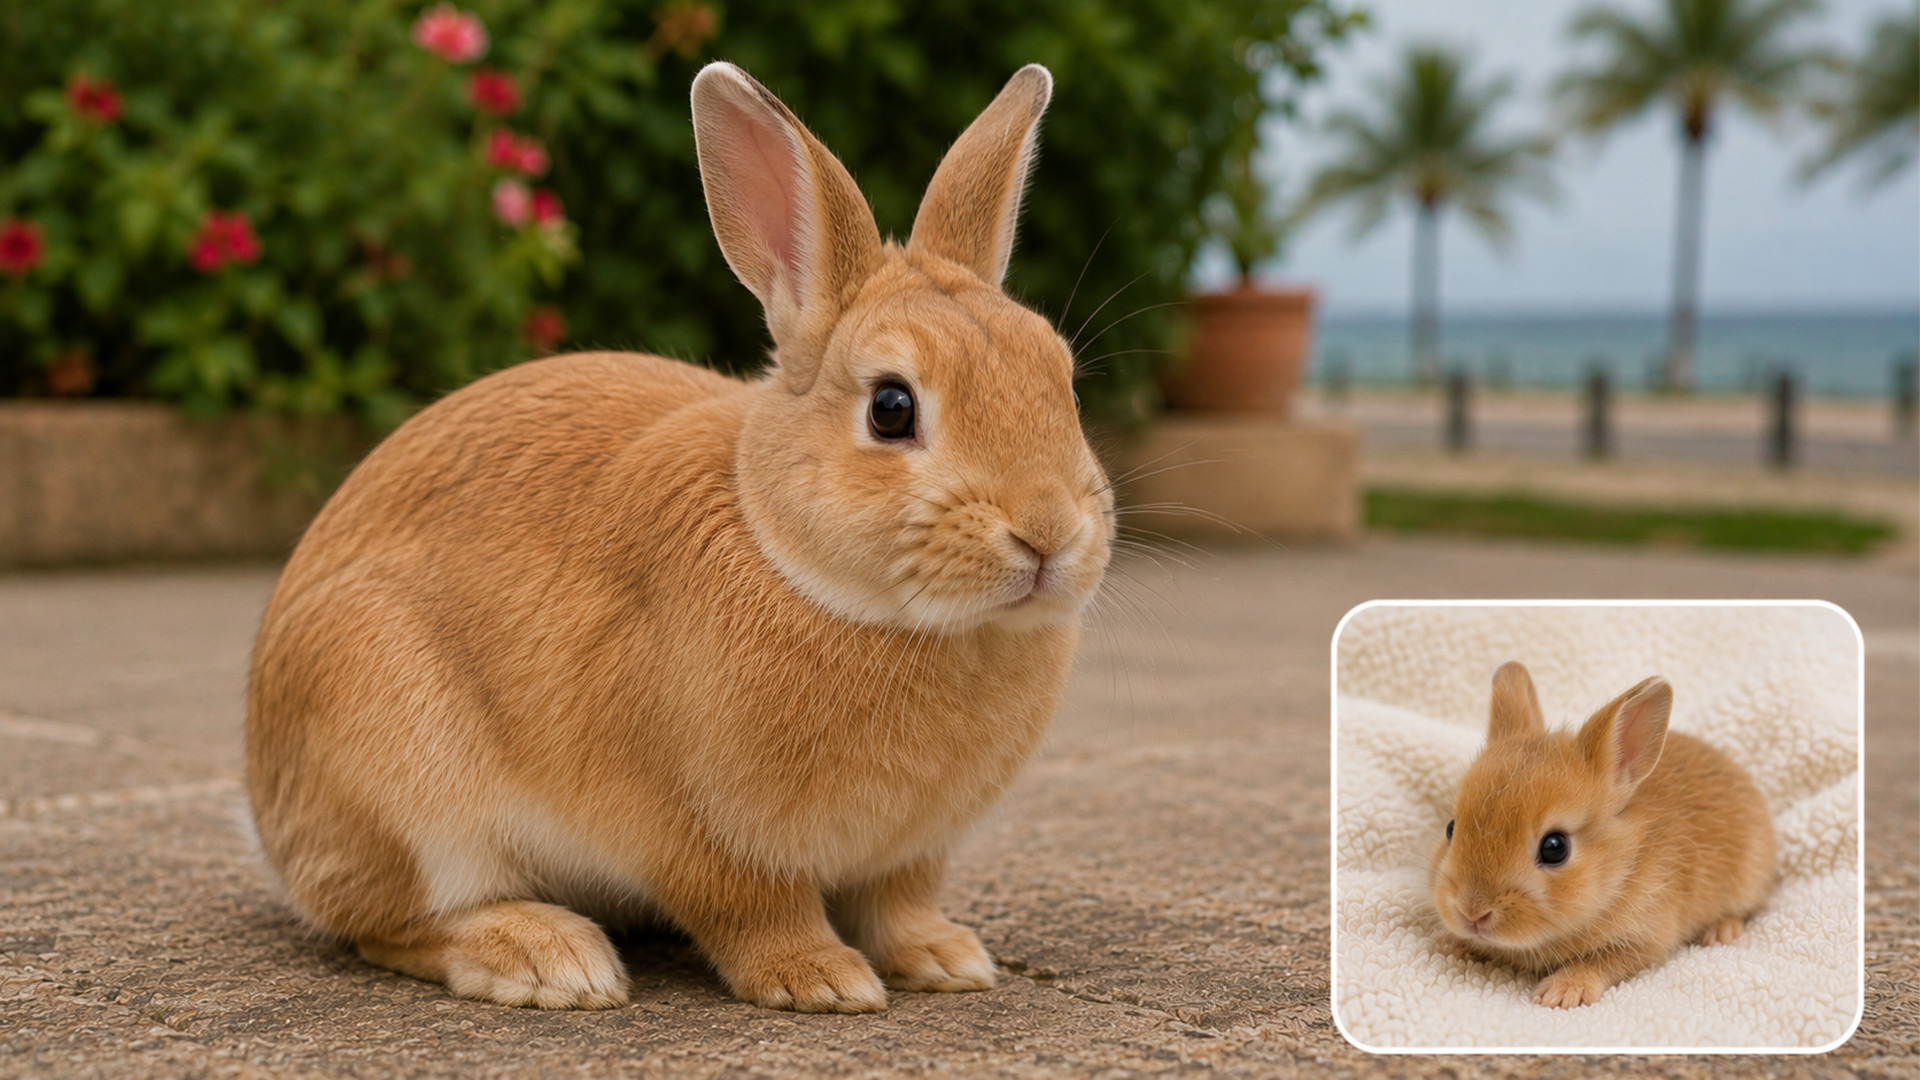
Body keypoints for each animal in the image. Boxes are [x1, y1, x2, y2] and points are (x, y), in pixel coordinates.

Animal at [245, 61, 1112, 1014]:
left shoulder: (909, 855)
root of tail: (266, 791)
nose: (1047, 533)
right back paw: (548, 960)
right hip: (396, 758)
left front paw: (947, 959)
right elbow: (752, 910)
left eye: (1064, 383)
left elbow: (900, 905)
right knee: (388, 922)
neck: (790, 555)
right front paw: (823, 980)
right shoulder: (698, 832)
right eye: (891, 407)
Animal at [1429, 662, 1775, 1009]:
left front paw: (1562, 991)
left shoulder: (1645, 939)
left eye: (1555, 847)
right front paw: (1448, 942)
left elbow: (1603, 962)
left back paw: (1720, 932)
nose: (1471, 912)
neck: (1622, 867)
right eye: (1451, 827)